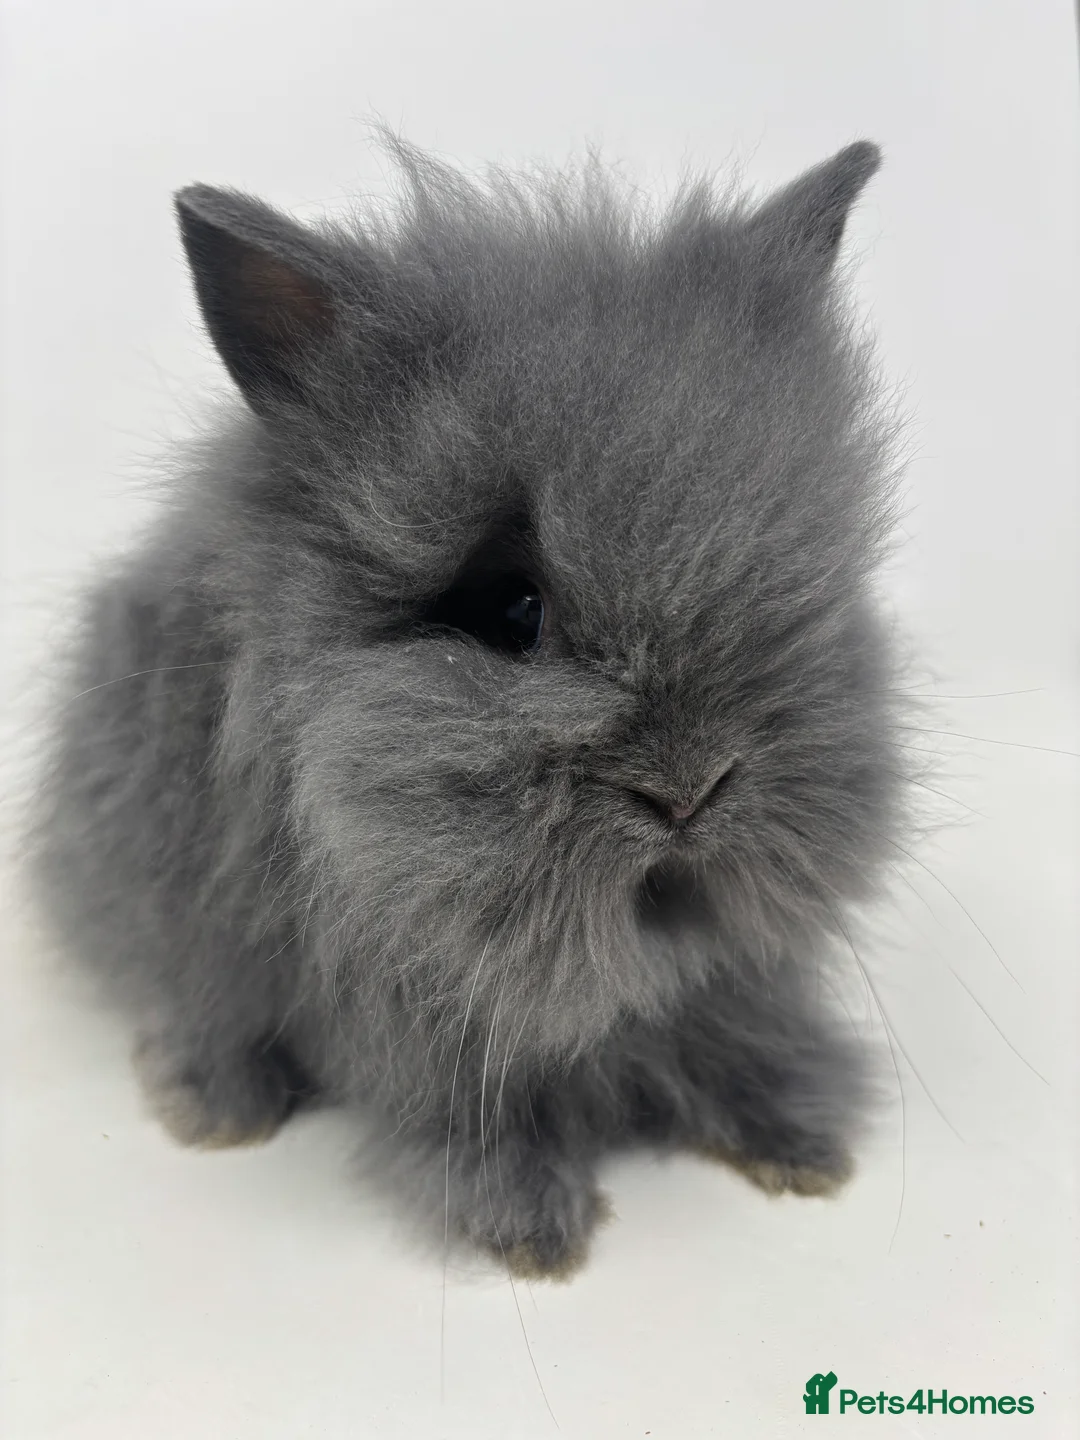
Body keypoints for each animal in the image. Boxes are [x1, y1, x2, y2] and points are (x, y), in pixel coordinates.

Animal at [30, 135, 910, 1279]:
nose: (690, 790)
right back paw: (219, 1108)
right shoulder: (414, 1011)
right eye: (510, 609)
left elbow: (737, 1032)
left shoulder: (730, 973)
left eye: (800, 574)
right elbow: (471, 1110)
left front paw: (801, 1145)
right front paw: (532, 1232)